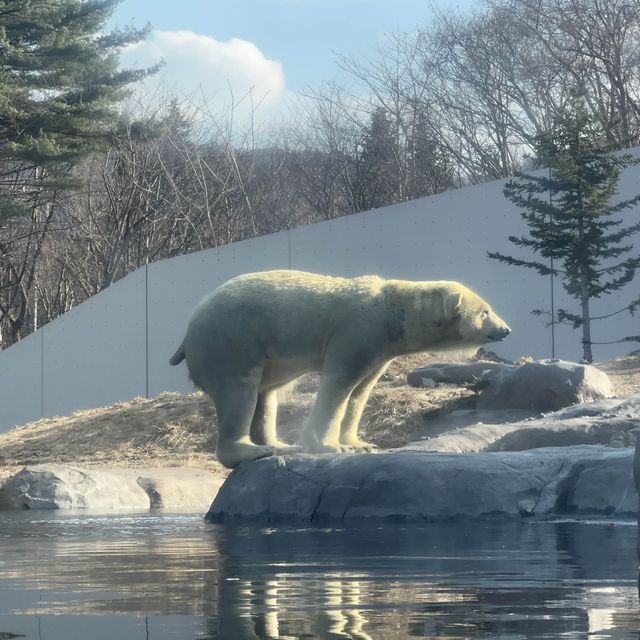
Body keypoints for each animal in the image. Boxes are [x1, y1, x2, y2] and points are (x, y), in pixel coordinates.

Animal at [169, 268, 510, 468]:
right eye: (485, 311)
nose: (505, 329)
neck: (393, 313)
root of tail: (187, 332)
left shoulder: (380, 349)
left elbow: (361, 391)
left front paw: (360, 444)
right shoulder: (358, 331)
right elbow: (339, 383)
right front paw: (332, 447)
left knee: (266, 396)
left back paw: (281, 445)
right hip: (231, 341)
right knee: (240, 391)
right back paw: (254, 450)